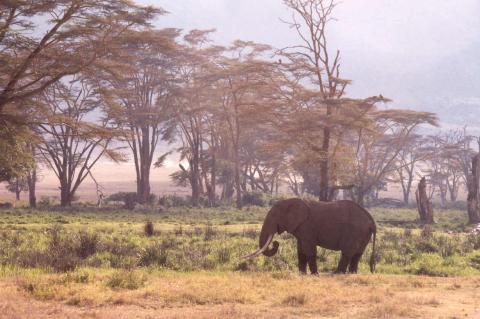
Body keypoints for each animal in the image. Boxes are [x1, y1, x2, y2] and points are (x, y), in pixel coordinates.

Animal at [242, 198, 376, 276]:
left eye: (275, 216)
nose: (276, 243)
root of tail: (371, 219)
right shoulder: (301, 229)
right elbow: (301, 250)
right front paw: (302, 274)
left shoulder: (307, 227)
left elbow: (309, 250)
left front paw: (314, 274)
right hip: (363, 233)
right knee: (357, 254)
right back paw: (352, 274)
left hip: (355, 232)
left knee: (348, 253)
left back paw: (337, 273)